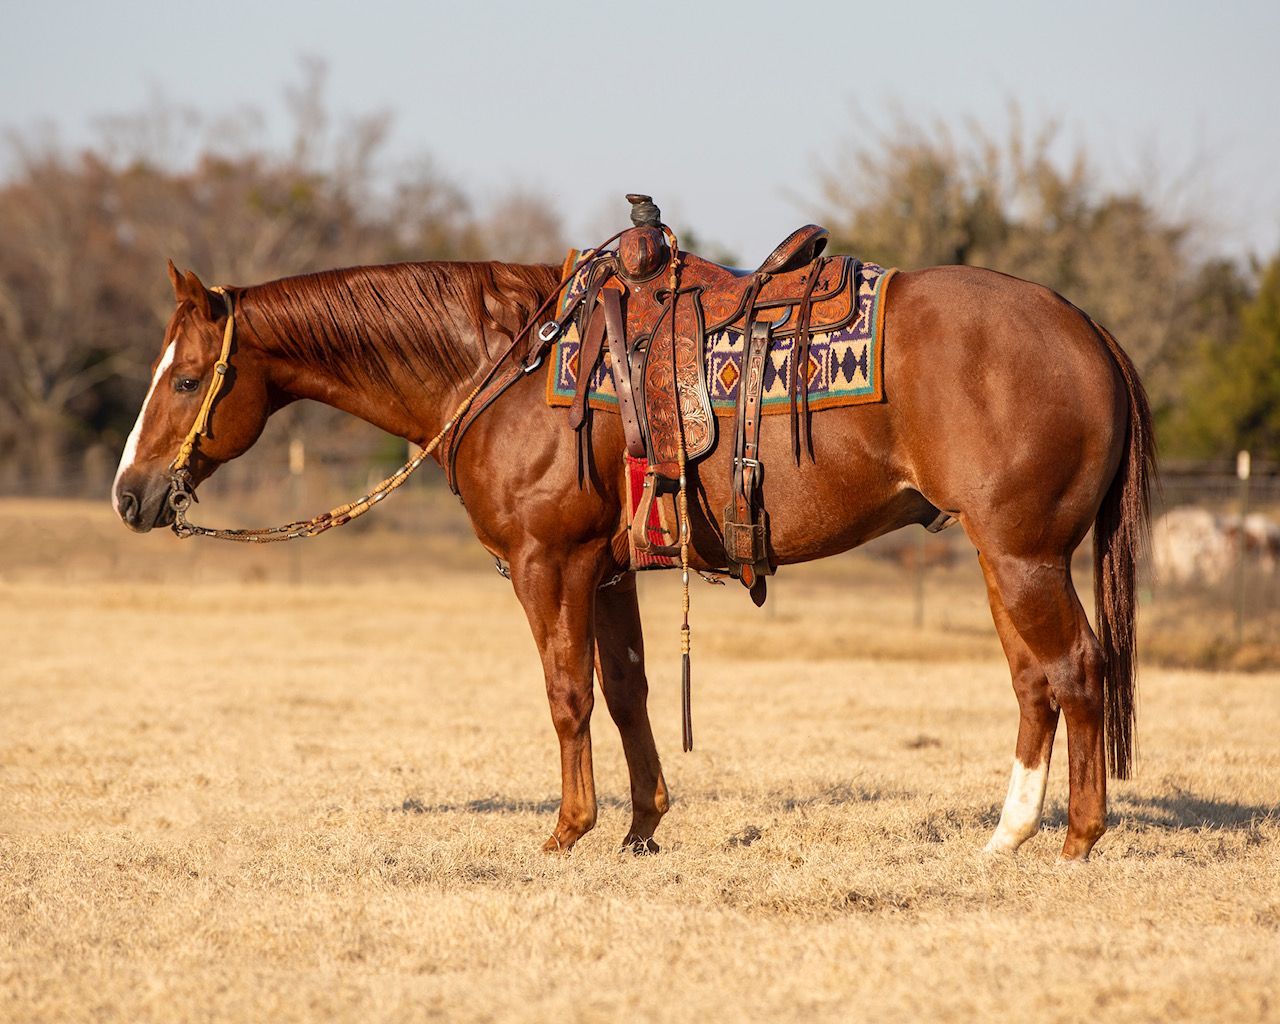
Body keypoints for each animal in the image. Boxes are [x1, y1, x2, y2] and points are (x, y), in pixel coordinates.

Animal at [110, 253, 1152, 855]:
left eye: (190, 378)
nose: (129, 493)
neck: (506, 363)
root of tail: (1087, 328)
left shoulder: (552, 563)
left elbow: (566, 694)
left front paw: (568, 831)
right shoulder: (607, 572)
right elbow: (625, 692)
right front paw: (642, 825)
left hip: (1023, 555)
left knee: (1075, 669)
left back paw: (1076, 841)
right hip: (1003, 557)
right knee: (1036, 681)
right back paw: (1008, 837)